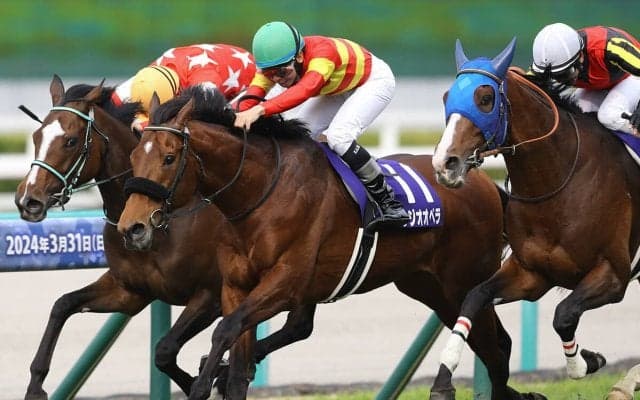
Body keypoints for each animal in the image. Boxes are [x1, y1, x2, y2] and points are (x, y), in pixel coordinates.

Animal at [14, 76, 319, 399]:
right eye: (36, 137)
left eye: (70, 141)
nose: (28, 200)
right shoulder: (130, 290)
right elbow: (62, 305)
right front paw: (35, 386)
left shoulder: (210, 296)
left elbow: (164, 350)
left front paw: (205, 381)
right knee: (299, 325)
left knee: (297, 324)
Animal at [116, 85, 546, 400]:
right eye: (134, 157)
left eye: (169, 158)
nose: (132, 227)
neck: (261, 192)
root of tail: (484, 182)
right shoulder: (236, 286)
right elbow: (236, 361)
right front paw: (222, 374)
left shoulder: (286, 283)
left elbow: (225, 331)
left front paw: (202, 383)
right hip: (429, 288)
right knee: (494, 344)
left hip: (462, 282)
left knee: (495, 350)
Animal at [431, 38, 640, 388]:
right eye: (446, 97)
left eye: (485, 99)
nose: (445, 163)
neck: (559, 179)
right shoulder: (531, 274)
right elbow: (474, 297)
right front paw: (444, 379)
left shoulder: (613, 274)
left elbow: (563, 316)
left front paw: (586, 362)